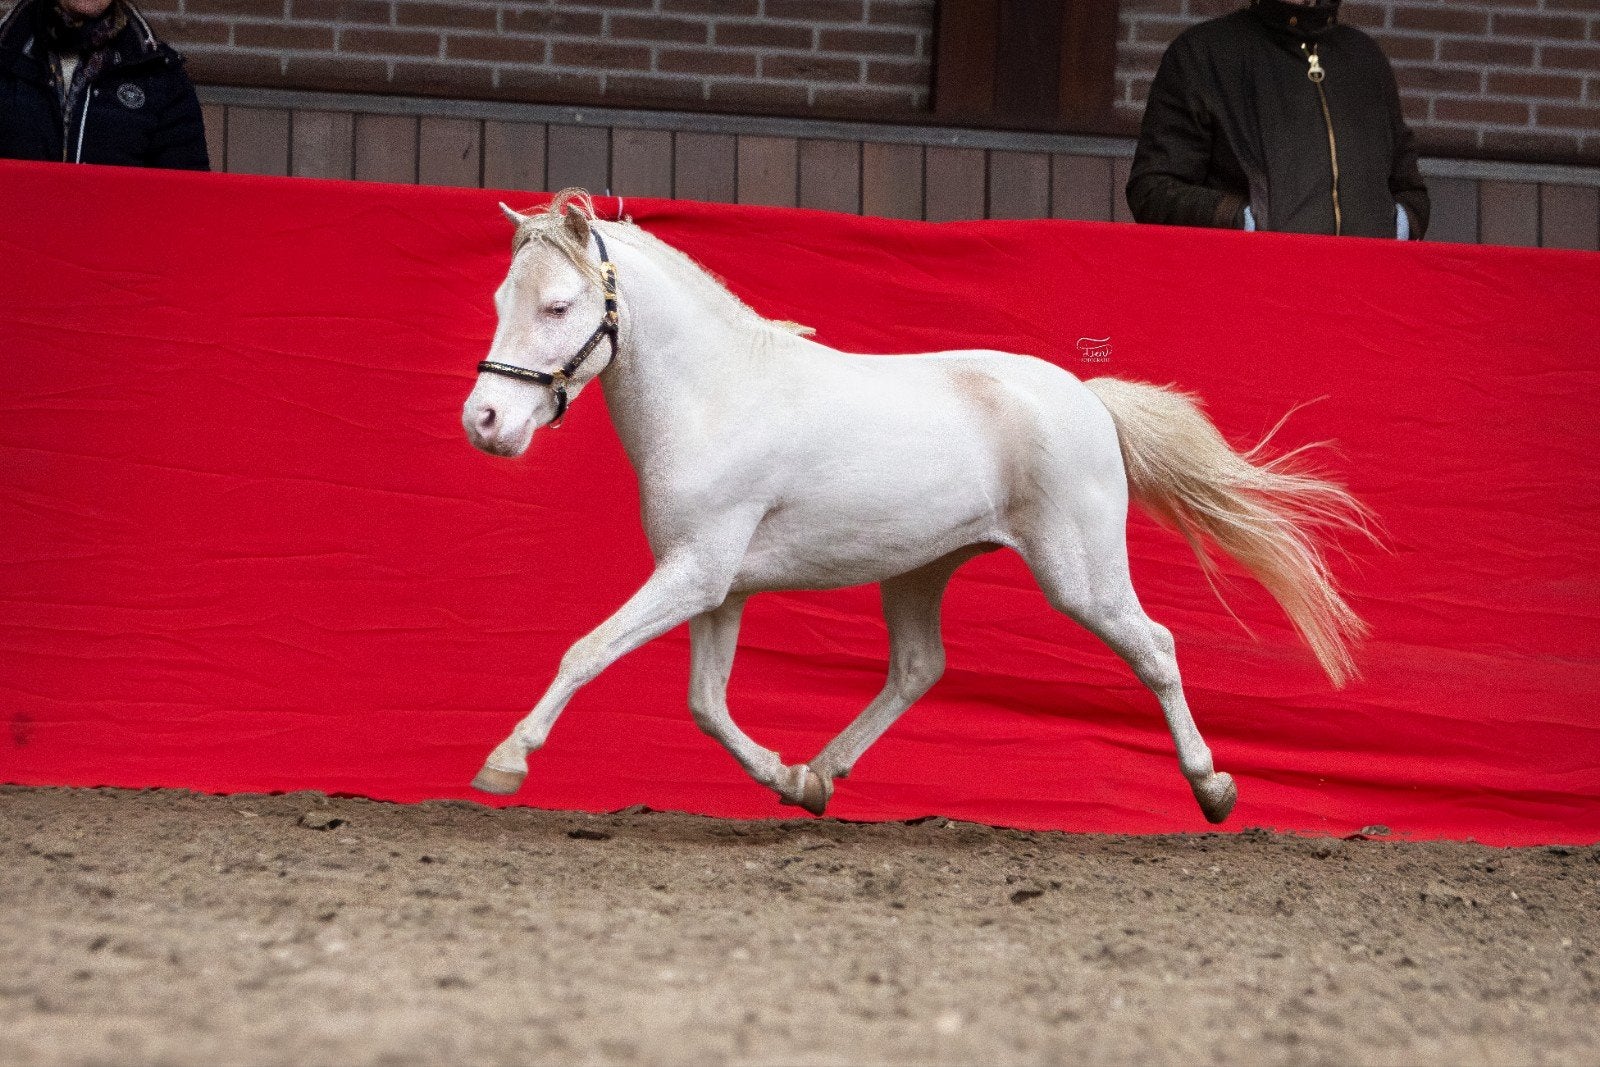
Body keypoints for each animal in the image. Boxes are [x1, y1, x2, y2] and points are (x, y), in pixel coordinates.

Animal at [461, 190, 1370, 825]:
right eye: (502, 298)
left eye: (558, 306)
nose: (486, 422)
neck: (717, 396)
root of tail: (1087, 396)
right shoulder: (719, 586)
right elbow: (706, 704)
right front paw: (790, 778)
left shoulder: (695, 573)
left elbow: (586, 651)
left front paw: (504, 761)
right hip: (920, 570)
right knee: (917, 667)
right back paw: (823, 773)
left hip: (1080, 575)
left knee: (1155, 648)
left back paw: (1213, 787)